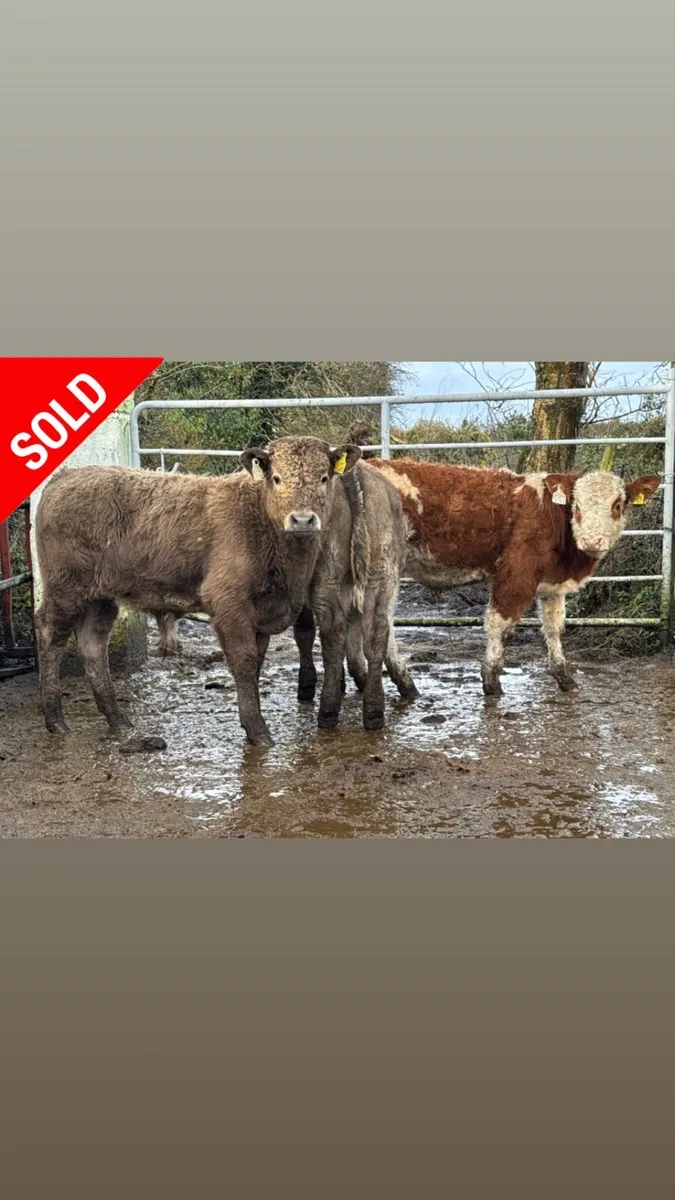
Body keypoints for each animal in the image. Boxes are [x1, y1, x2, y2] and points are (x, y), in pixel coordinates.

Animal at [33, 436, 363, 747]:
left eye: (324, 478)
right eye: (277, 478)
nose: (302, 519)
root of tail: (65, 477)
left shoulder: (262, 612)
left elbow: (256, 662)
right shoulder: (228, 602)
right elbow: (244, 661)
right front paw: (258, 732)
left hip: (101, 597)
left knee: (93, 644)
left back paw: (118, 720)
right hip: (65, 588)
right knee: (51, 634)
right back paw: (55, 720)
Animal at [363, 459, 662, 697]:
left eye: (618, 505)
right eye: (576, 506)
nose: (592, 540)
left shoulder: (552, 586)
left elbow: (554, 629)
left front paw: (565, 679)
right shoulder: (516, 574)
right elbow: (500, 626)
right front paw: (491, 682)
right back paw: (403, 684)